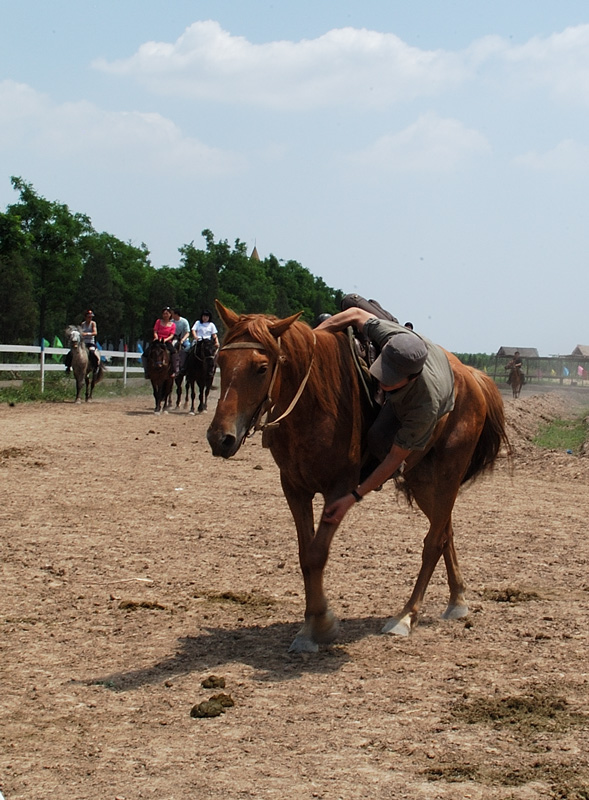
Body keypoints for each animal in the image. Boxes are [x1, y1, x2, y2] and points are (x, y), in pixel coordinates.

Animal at [208, 300, 510, 648]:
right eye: (219, 360)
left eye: (261, 367)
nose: (220, 438)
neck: (315, 401)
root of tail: (473, 377)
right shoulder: (294, 486)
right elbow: (304, 554)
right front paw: (311, 624)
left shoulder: (338, 489)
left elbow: (316, 554)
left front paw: (320, 624)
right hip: (422, 479)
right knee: (445, 531)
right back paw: (457, 599)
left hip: (448, 473)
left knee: (434, 541)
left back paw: (406, 615)